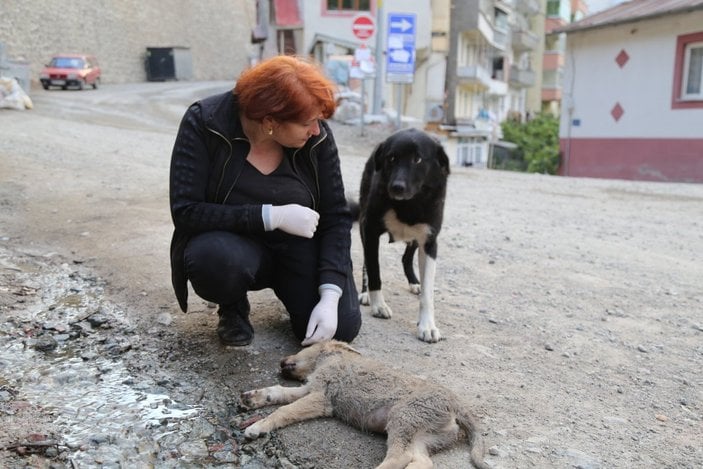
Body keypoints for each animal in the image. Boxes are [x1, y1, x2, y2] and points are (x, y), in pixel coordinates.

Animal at [239, 340, 486, 468]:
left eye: (304, 346)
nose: (281, 362)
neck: (331, 358)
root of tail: (456, 404)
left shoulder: (321, 396)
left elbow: (283, 410)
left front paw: (257, 426)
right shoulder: (309, 389)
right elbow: (277, 392)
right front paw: (251, 399)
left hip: (403, 418)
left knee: (399, 457)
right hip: (421, 436)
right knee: (421, 463)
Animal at [358, 128, 452, 344]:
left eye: (418, 159)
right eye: (391, 158)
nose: (397, 187)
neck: (409, 205)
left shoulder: (430, 241)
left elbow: (428, 293)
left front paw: (427, 326)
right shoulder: (370, 230)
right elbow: (374, 270)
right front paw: (378, 305)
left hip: (416, 239)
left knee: (406, 257)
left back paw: (415, 282)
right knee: (367, 263)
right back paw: (365, 294)